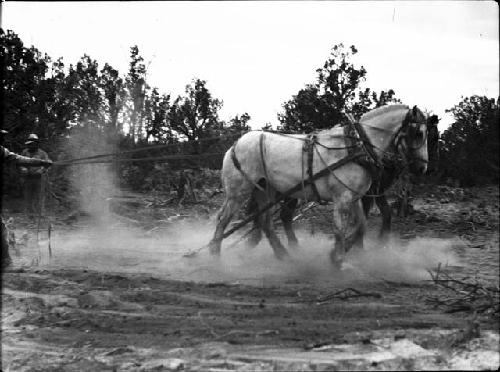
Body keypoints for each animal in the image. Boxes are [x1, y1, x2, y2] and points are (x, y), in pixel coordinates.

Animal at [205, 104, 428, 268]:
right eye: (418, 133)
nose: (422, 167)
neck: (357, 147)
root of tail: (236, 144)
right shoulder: (342, 198)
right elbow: (339, 229)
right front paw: (338, 260)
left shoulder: (354, 197)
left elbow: (361, 226)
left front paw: (341, 251)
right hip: (238, 192)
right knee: (223, 219)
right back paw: (214, 255)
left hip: (265, 189)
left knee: (266, 222)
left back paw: (283, 254)